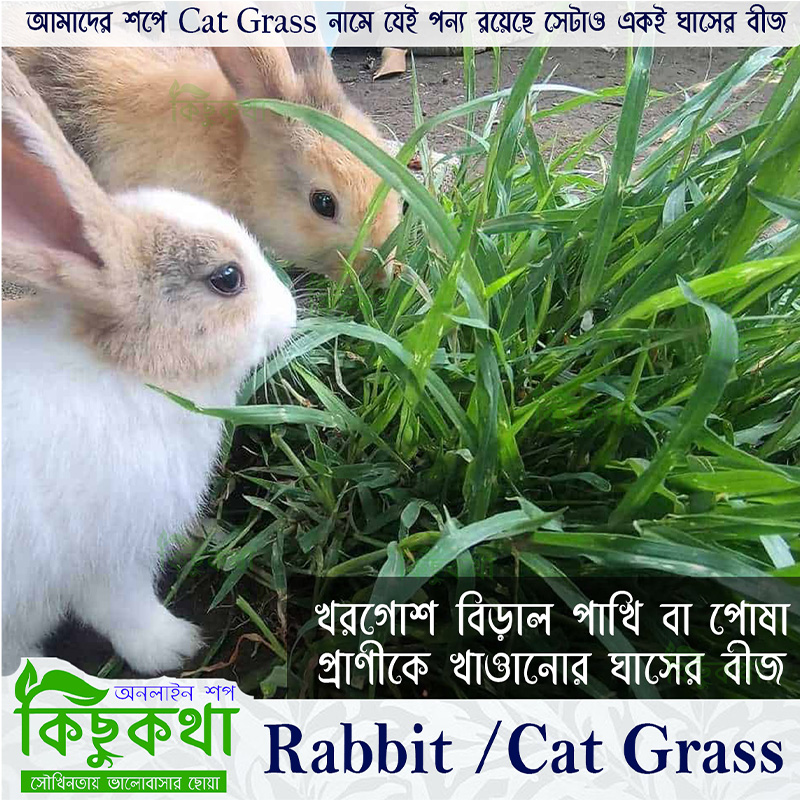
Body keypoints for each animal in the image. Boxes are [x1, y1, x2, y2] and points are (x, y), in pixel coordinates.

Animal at [1, 53, 297, 676]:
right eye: (227, 278)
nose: (290, 313)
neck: (134, 373)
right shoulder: (107, 559)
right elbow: (127, 612)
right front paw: (177, 646)